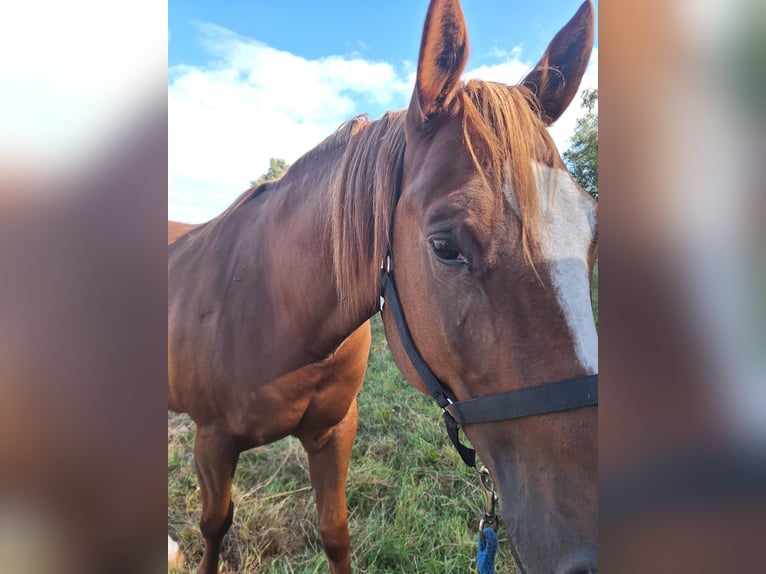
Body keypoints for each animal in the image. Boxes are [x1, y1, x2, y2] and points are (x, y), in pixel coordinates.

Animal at [168, 0, 598, 572]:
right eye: (444, 246)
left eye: (592, 231)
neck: (273, 305)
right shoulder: (211, 444)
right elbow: (215, 527)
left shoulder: (334, 433)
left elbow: (335, 533)